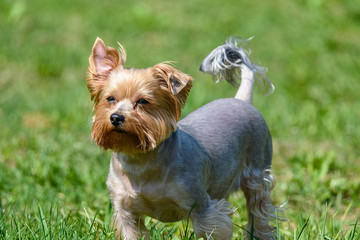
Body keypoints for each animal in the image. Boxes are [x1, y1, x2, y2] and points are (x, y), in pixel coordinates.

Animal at [86, 36, 278, 239]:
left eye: (143, 101)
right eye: (110, 99)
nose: (116, 117)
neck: (140, 160)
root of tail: (241, 100)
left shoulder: (203, 208)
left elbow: (212, 227)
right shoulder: (124, 211)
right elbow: (130, 231)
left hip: (257, 172)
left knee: (258, 210)